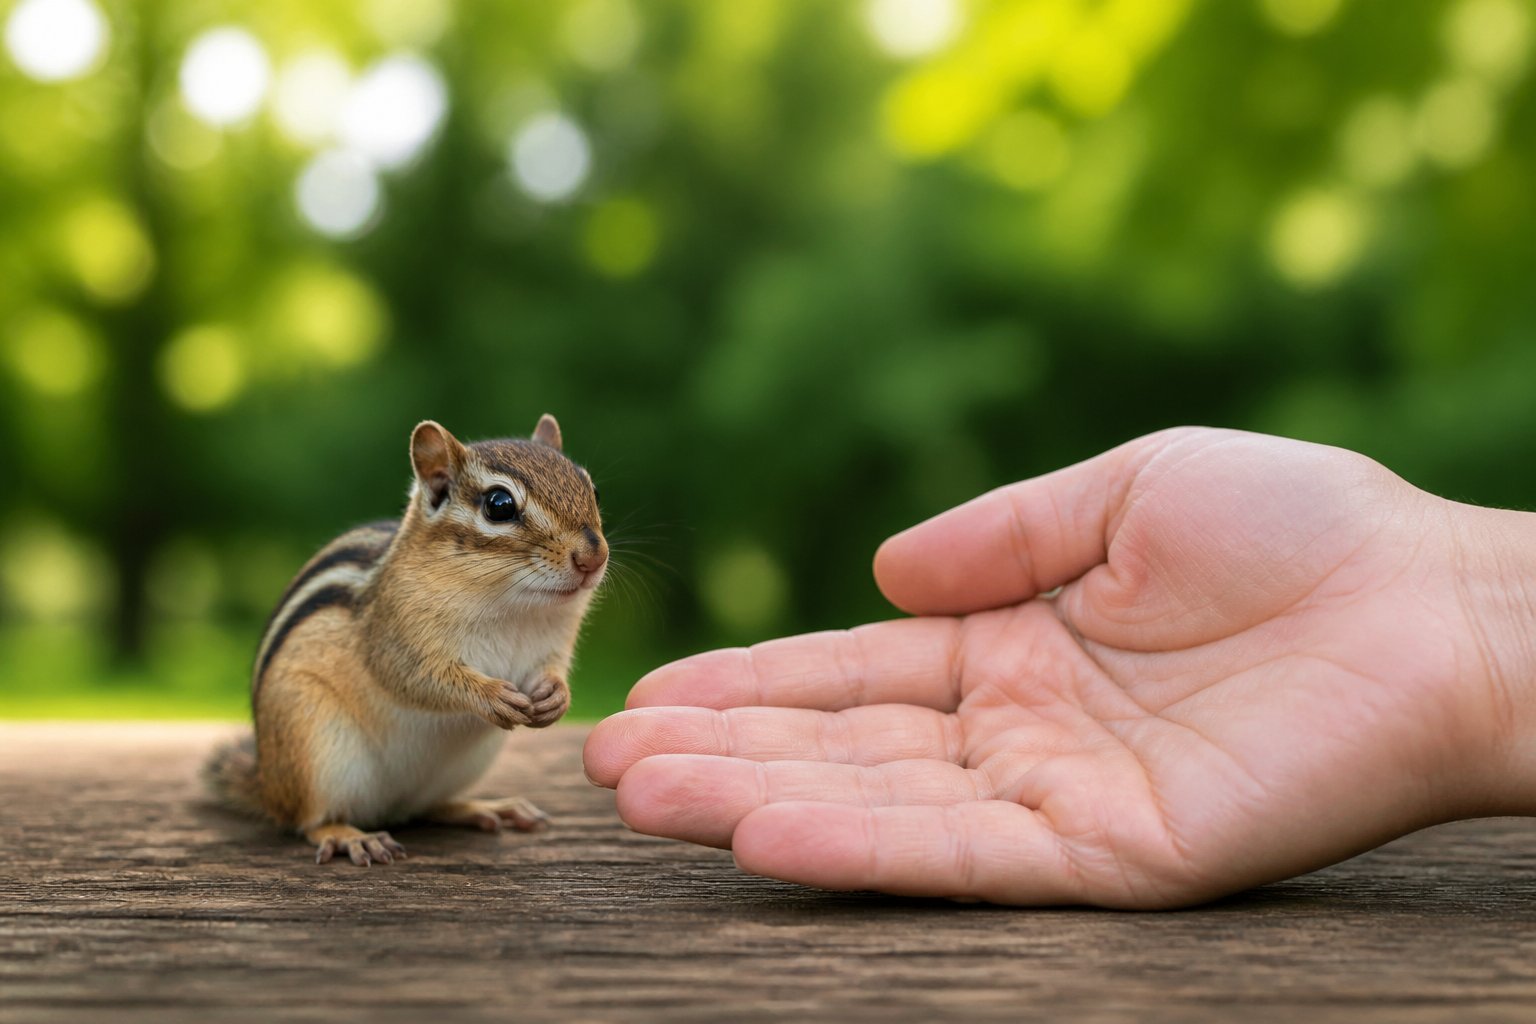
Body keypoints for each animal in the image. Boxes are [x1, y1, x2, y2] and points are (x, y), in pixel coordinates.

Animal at [204, 414, 607, 866]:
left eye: (591, 489)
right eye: (499, 505)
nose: (594, 558)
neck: (518, 609)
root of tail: (267, 785)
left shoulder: (553, 645)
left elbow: (552, 671)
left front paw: (557, 697)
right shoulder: (393, 637)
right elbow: (415, 678)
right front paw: (490, 696)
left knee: (426, 807)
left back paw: (484, 807)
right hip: (313, 749)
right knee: (308, 821)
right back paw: (351, 836)